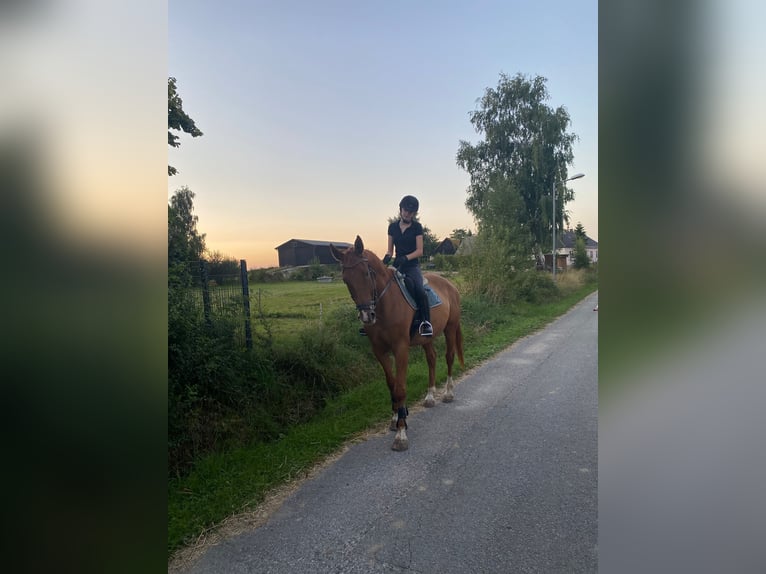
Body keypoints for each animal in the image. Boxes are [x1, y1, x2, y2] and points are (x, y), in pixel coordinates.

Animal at [330, 236, 464, 451]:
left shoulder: (401, 348)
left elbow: (400, 388)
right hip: (426, 337)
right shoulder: (379, 351)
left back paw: (448, 393)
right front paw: (396, 418)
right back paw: (429, 397)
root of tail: (449, 284)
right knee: (432, 359)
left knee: (449, 357)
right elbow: (391, 385)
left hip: (450, 328)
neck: (385, 305)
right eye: (345, 279)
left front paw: (401, 434)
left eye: (367, 273)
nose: (367, 315)